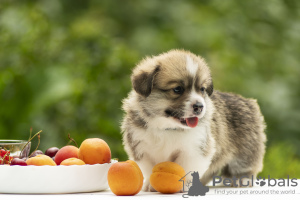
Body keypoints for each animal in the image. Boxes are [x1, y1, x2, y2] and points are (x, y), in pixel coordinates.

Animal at [120, 49, 266, 191]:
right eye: (177, 89)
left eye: (202, 89)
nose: (199, 106)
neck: (168, 127)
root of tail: (247, 101)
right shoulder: (141, 149)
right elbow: (149, 169)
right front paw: (150, 184)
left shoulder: (193, 150)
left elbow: (186, 169)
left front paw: (185, 184)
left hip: (246, 150)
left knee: (244, 165)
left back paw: (242, 179)